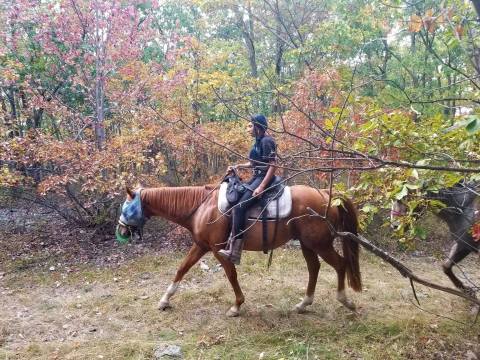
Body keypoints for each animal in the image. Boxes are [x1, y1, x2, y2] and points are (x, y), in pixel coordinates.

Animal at [117, 184, 364, 316]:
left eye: (126, 207)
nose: (120, 231)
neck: (201, 207)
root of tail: (326, 195)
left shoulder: (218, 250)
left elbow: (231, 275)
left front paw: (236, 306)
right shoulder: (201, 246)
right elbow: (181, 269)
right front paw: (164, 300)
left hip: (320, 245)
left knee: (340, 264)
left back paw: (345, 301)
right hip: (308, 245)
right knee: (314, 268)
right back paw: (304, 304)